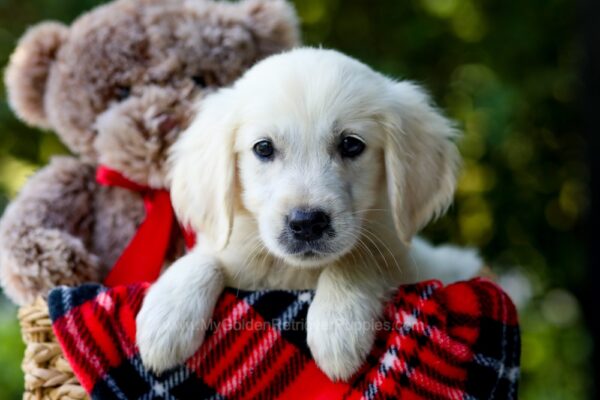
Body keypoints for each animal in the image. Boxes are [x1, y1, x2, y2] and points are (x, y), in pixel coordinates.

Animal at [137, 47, 482, 382]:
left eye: (351, 145)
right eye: (263, 148)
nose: (306, 224)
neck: (297, 273)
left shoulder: (404, 261)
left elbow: (356, 257)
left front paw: (337, 327)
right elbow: (204, 258)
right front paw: (165, 317)